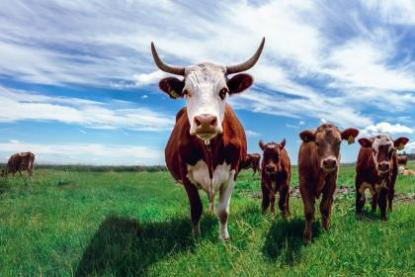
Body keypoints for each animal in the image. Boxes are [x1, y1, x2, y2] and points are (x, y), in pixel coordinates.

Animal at [151, 37, 264, 238]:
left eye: (224, 91)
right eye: (186, 91)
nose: (205, 121)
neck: (209, 148)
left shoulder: (232, 173)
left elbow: (223, 210)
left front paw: (223, 237)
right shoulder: (186, 176)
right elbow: (196, 209)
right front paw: (196, 237)